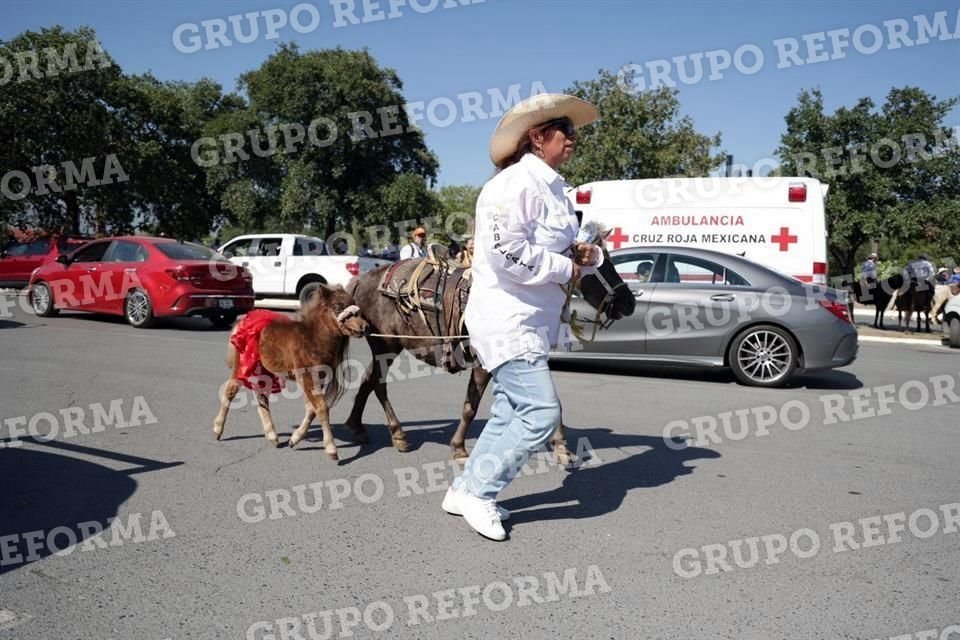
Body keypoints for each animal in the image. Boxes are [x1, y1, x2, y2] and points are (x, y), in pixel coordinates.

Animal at [212, 284, 370, 460]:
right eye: (337, 307)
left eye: (355, 305)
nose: (364, 327)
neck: (313, 339)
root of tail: (240, 324)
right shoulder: (307, 377)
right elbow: (322, 407)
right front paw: (331, 449)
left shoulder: (320, 378)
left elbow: (312, 409)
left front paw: (294, 439)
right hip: (240, 366)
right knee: (230, 392)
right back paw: (218, 430)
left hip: (263, 369)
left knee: (261, 396)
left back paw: (272, 436)